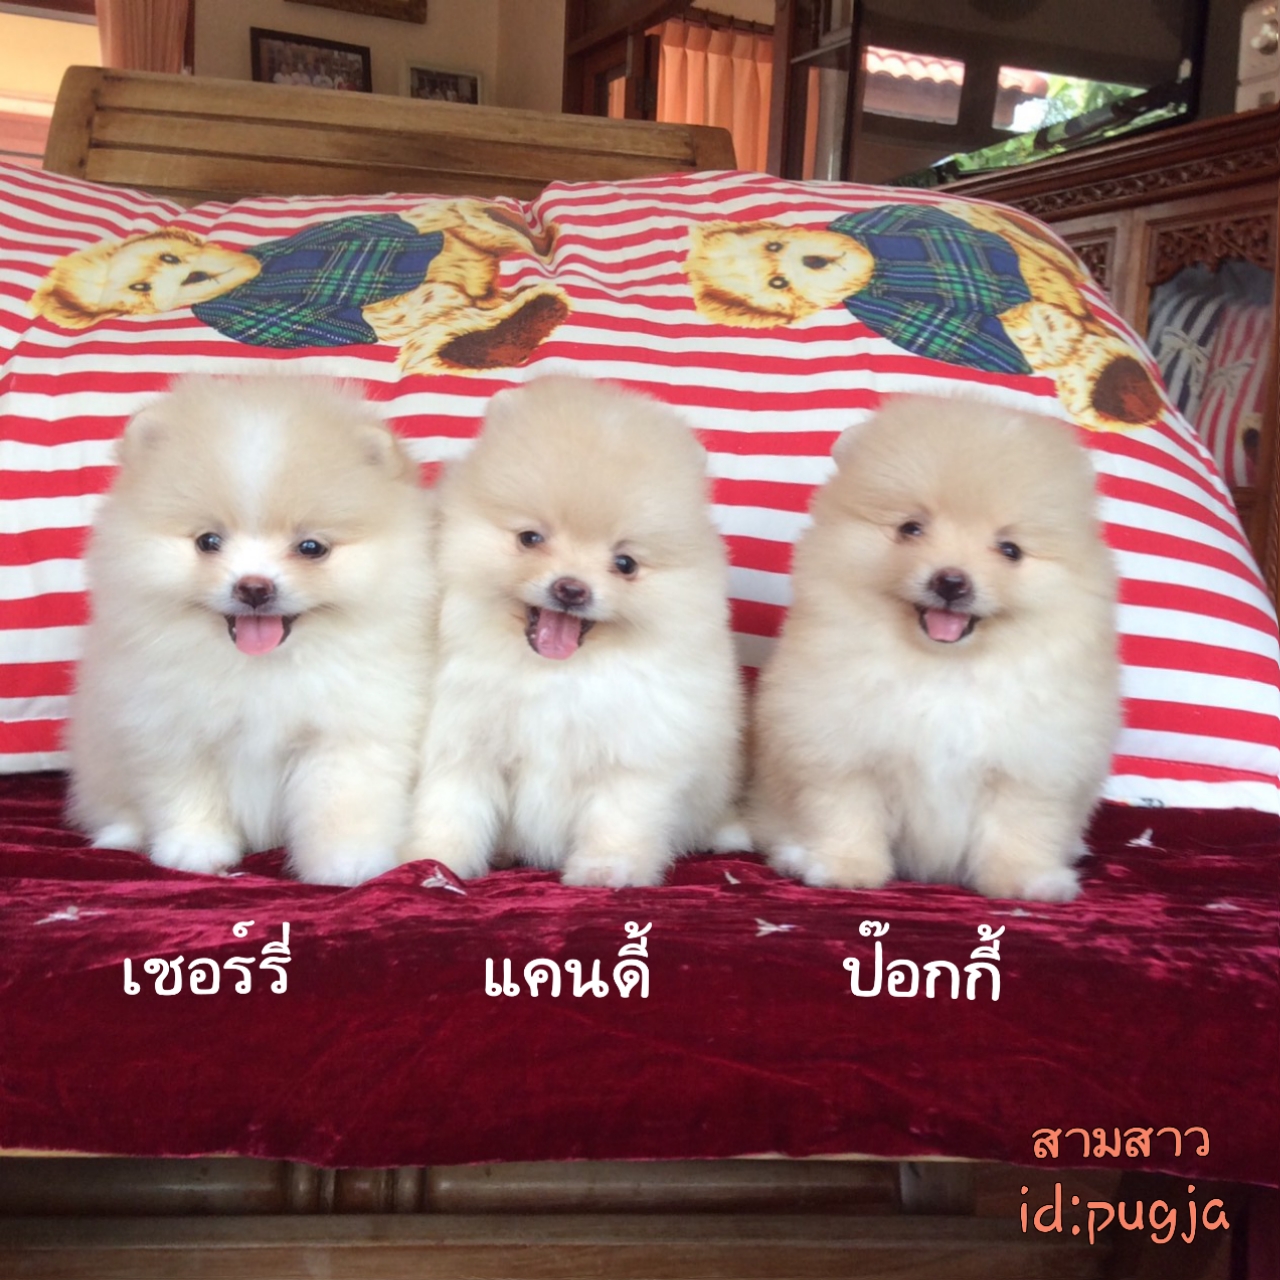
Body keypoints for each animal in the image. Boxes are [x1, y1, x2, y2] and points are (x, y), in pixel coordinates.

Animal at [67, 374, 435, 886]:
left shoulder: (346, 731)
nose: (254, 586)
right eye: (208, 542)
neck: (261, 670)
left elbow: (341, 804)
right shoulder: (171, 728)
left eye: (311, 547)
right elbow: (187, 796)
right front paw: (194, 852)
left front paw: (348, 864)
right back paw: (121, 834)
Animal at [401, 375, 744, 887]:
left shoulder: (635, 754)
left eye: (625, 563)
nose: (571, 588)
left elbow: (618, 817)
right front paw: (431, 862)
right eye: (530, 538)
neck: (555, 675)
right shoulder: (463, 741)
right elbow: (449, 809)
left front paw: (606, 870)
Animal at [749, 394, 1120, 901]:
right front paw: (844, 866)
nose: (951, 580)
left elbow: (1020, 826)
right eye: (911, 528)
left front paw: (1025, 880)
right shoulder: (842, 750)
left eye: (1010, 550)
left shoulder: (1030, 765)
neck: (944, 668)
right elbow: (845, 812)